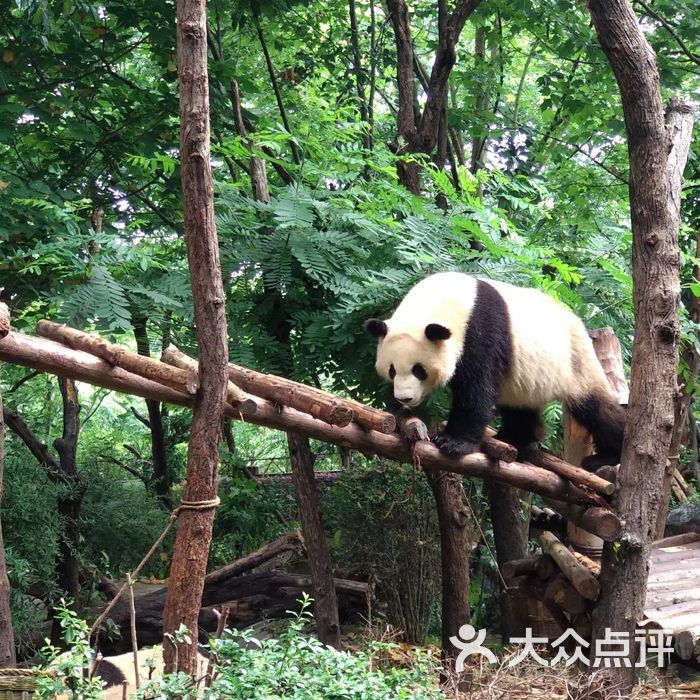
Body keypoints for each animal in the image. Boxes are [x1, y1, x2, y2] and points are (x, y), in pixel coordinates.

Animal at [364, 270, 628, 468]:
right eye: (392, 370)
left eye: (419, 370)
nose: (405, 398)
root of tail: (579, 323)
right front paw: (396, 409)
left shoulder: (480, 330)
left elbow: (476, 388)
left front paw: (453, 442)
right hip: (524, 380)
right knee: (519, 407)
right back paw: (515, 438)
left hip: (574, 362)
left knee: (594, 408)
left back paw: (607, 455)